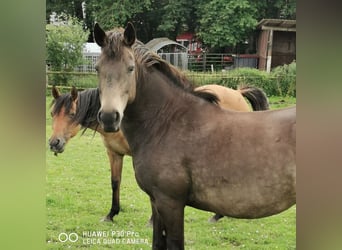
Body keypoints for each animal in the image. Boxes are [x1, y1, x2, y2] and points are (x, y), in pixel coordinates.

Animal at [48, 83, 268, 222]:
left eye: (72, 113)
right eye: (52, 114)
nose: (54, 143)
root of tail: (237, 92)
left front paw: (152, 221)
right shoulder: (114, 153)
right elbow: (115, 183)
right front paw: (111, 214)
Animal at [94, 22, 296, 249]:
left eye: (131, 68)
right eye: (98, 68)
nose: (109, 117)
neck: (166, 123)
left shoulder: (171, 203)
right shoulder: (156, 201)